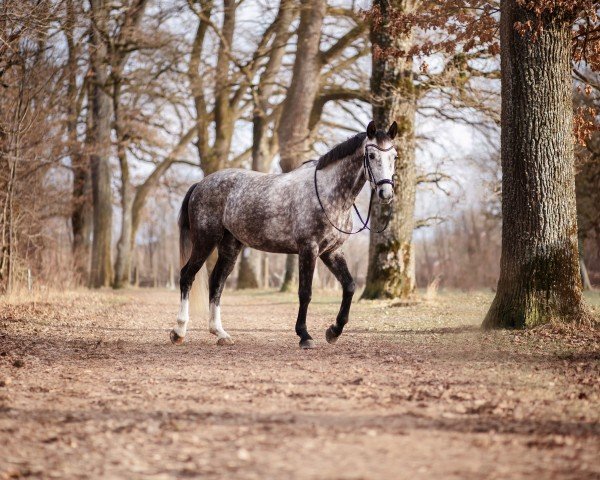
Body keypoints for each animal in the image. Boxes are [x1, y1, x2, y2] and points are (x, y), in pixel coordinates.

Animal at [170, 121, 398, 348]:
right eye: (371, 155)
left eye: (394, 156)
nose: (386, 193)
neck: (327, 193)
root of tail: (200, 184)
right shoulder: (309, 249)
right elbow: (305, 293)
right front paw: (304, 335)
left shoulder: (331, 251)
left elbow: (349, 286)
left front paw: (334, 331)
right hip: (205, 241)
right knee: (187, 276)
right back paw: (179, 331)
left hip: (230, 246)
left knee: (217, 282)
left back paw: (220, 333)